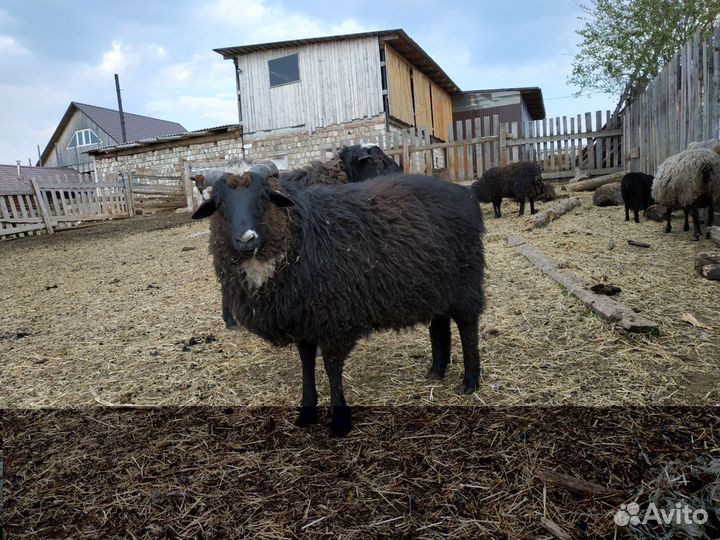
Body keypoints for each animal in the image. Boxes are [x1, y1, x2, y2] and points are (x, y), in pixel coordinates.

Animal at [191, 163, 486, 436]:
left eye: (264, 196)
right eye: (218, 203)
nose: (246, 239)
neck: (297, 236)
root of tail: (464, 193)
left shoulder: (335, 318)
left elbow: (332, 368)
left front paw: (339, 419)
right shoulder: (303, 320)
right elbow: (306, 363)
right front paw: (307, 410)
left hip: (466, 282)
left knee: (468, 326)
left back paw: (470, 381)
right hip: (436, 286)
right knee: (440, 324)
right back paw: (436, 370)